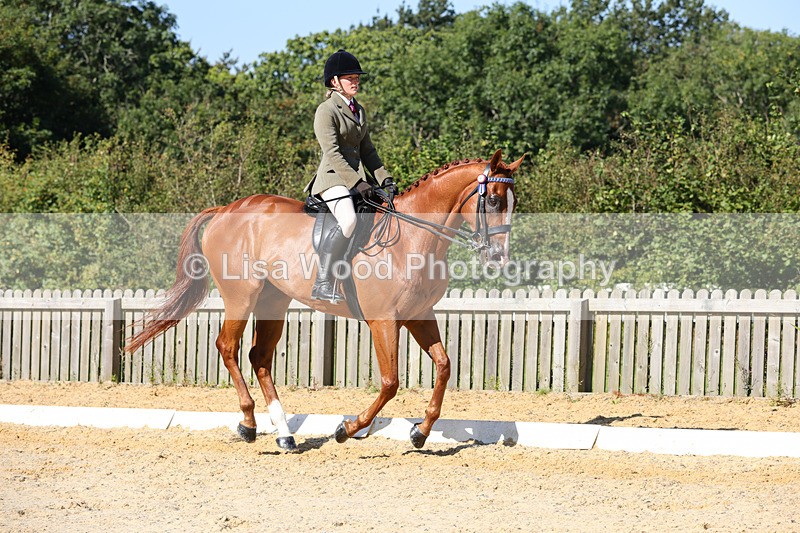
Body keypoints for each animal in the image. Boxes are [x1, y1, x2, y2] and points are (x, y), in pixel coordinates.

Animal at [125, 149, 524, 451]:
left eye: (513, 202)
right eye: (492, 200)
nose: (498, 258)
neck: (414, 237)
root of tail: (225, 209)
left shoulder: (419, 314)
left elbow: (443, 366)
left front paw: (420, 432)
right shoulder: (384, 319)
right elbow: (390, 382)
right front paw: (347, 429)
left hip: (273, 302)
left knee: (259, 358)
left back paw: (284, 435)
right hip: (241, 296)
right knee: (228, 346)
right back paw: (249, 423)